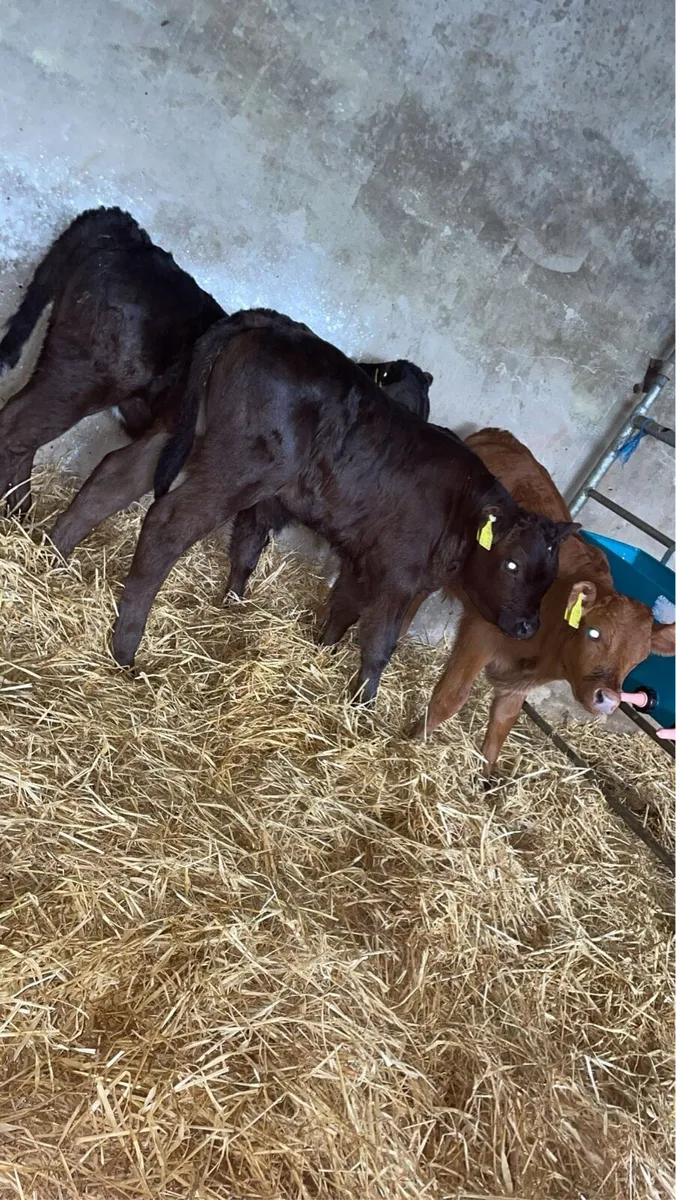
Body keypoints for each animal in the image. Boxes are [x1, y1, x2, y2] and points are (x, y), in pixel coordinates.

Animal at [105, 316, 575, 702]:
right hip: (240, 467)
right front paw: (363, 705)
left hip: (184, 430)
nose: (527, 628)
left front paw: (321, 651)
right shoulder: (399, 574)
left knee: (118, 472)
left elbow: (344, 610)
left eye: (550, 574)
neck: (461, 507)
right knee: (167, 522)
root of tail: (279, 326)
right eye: (512, 564)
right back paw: (125, 648)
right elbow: (380, 643)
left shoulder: (364, 557)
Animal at [407, 428, 676, 775]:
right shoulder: (480, 634)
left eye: (640, 659)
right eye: (594, 632)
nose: (610, 700)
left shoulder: (521, 681)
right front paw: (411, 742)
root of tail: (499, 435)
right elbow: (450, 698)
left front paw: (487, 778)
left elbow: (504, 721)